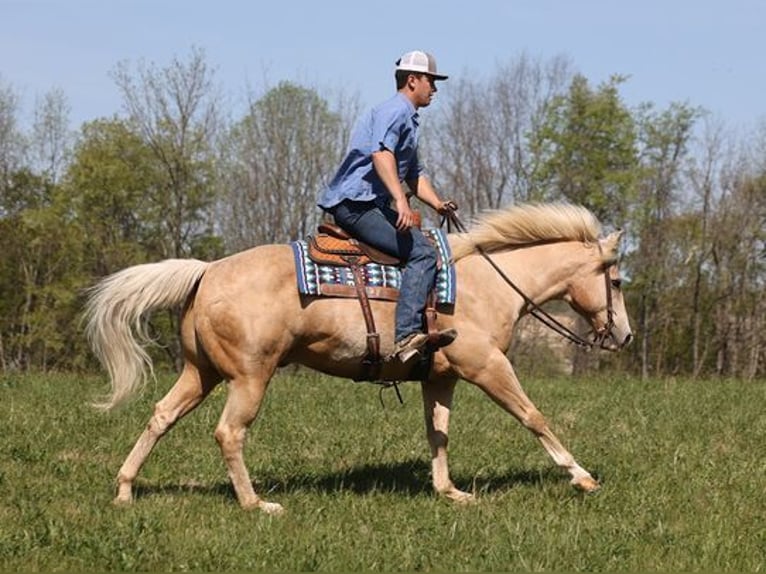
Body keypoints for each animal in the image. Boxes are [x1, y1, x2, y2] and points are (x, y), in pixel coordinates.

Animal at [85, 200, 636, 516]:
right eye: (615, 281)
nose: (625, 336)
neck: (485, 282)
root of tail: (207, 271)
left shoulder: (441, 377)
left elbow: (438, 433)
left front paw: (449, 492)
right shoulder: (486, 366)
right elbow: (533, 416)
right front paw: (582, 477)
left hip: (201, 372)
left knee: (161, 415)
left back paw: (125, 489)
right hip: (249, 376)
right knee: (229, 433)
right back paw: (255, 502)